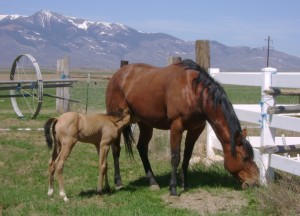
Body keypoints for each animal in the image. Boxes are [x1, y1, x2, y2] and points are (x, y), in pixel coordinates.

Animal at [106, 59, 260, 196]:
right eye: (245, 157)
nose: (254, 182)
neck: (193, 92)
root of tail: (118, 74)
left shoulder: (196, 129)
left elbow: (187, 156)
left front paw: (184, 184)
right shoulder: (176, 127)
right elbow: (175, 157)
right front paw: (173, 188)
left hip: (145, 123)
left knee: (142, 148)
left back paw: (153, 182)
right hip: (117, 120)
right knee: (116, 149)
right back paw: (118, 182)